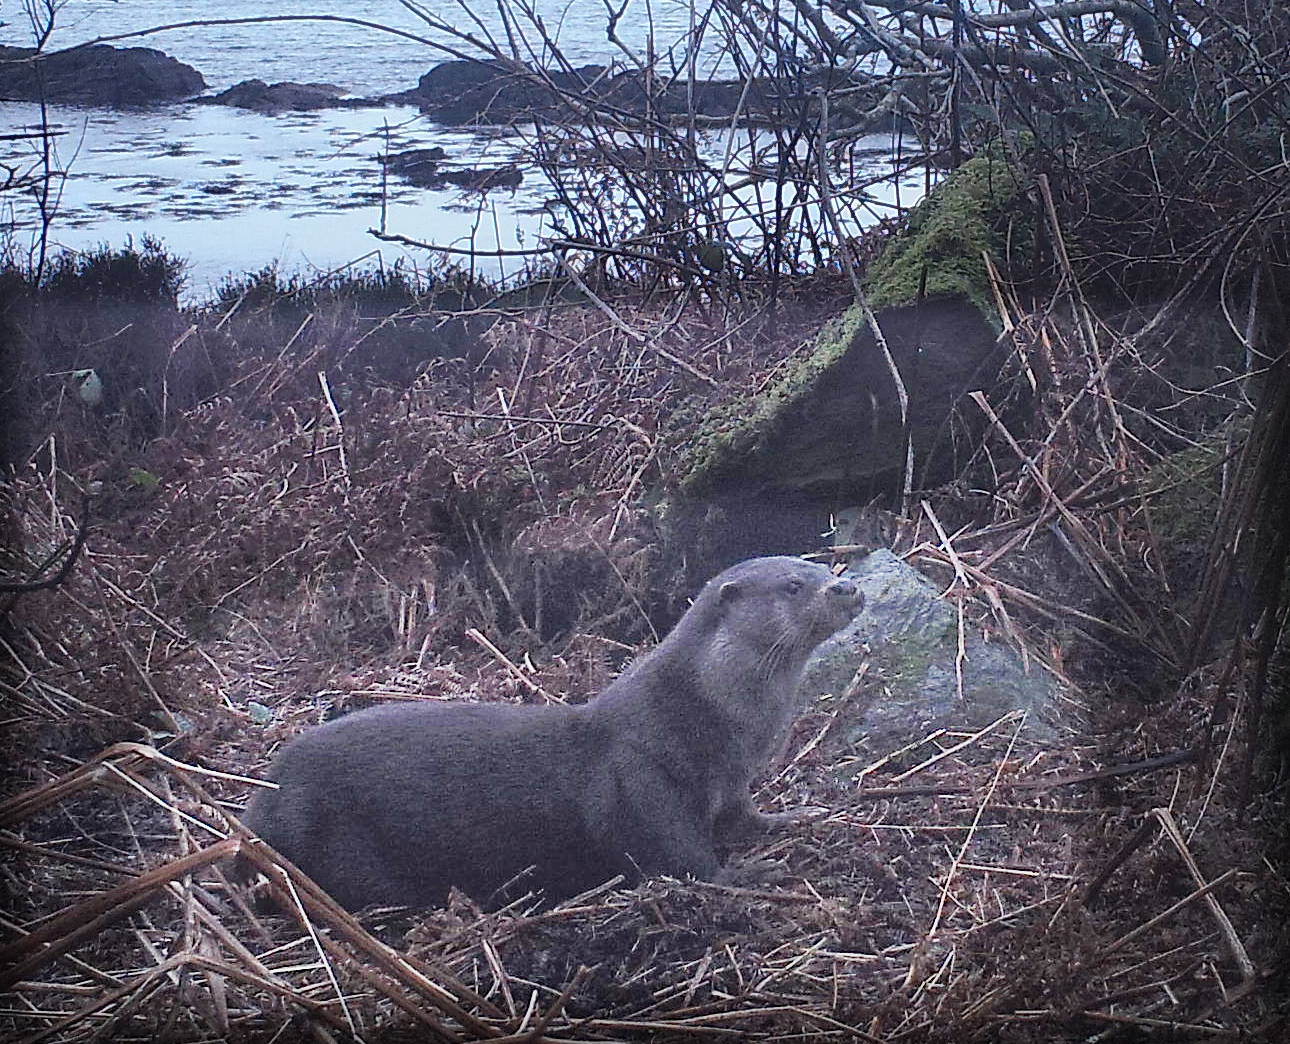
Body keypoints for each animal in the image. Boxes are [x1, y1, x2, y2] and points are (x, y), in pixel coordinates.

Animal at [240, 556, 863, 910]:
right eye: (793, 586)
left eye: (824, 568)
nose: (849, 587)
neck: (703, 718)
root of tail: (264, 801)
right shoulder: (638, 774)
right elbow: (674, 851)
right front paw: (747, 873)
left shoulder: (731, 782)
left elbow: (744, 817)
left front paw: (793, 818)